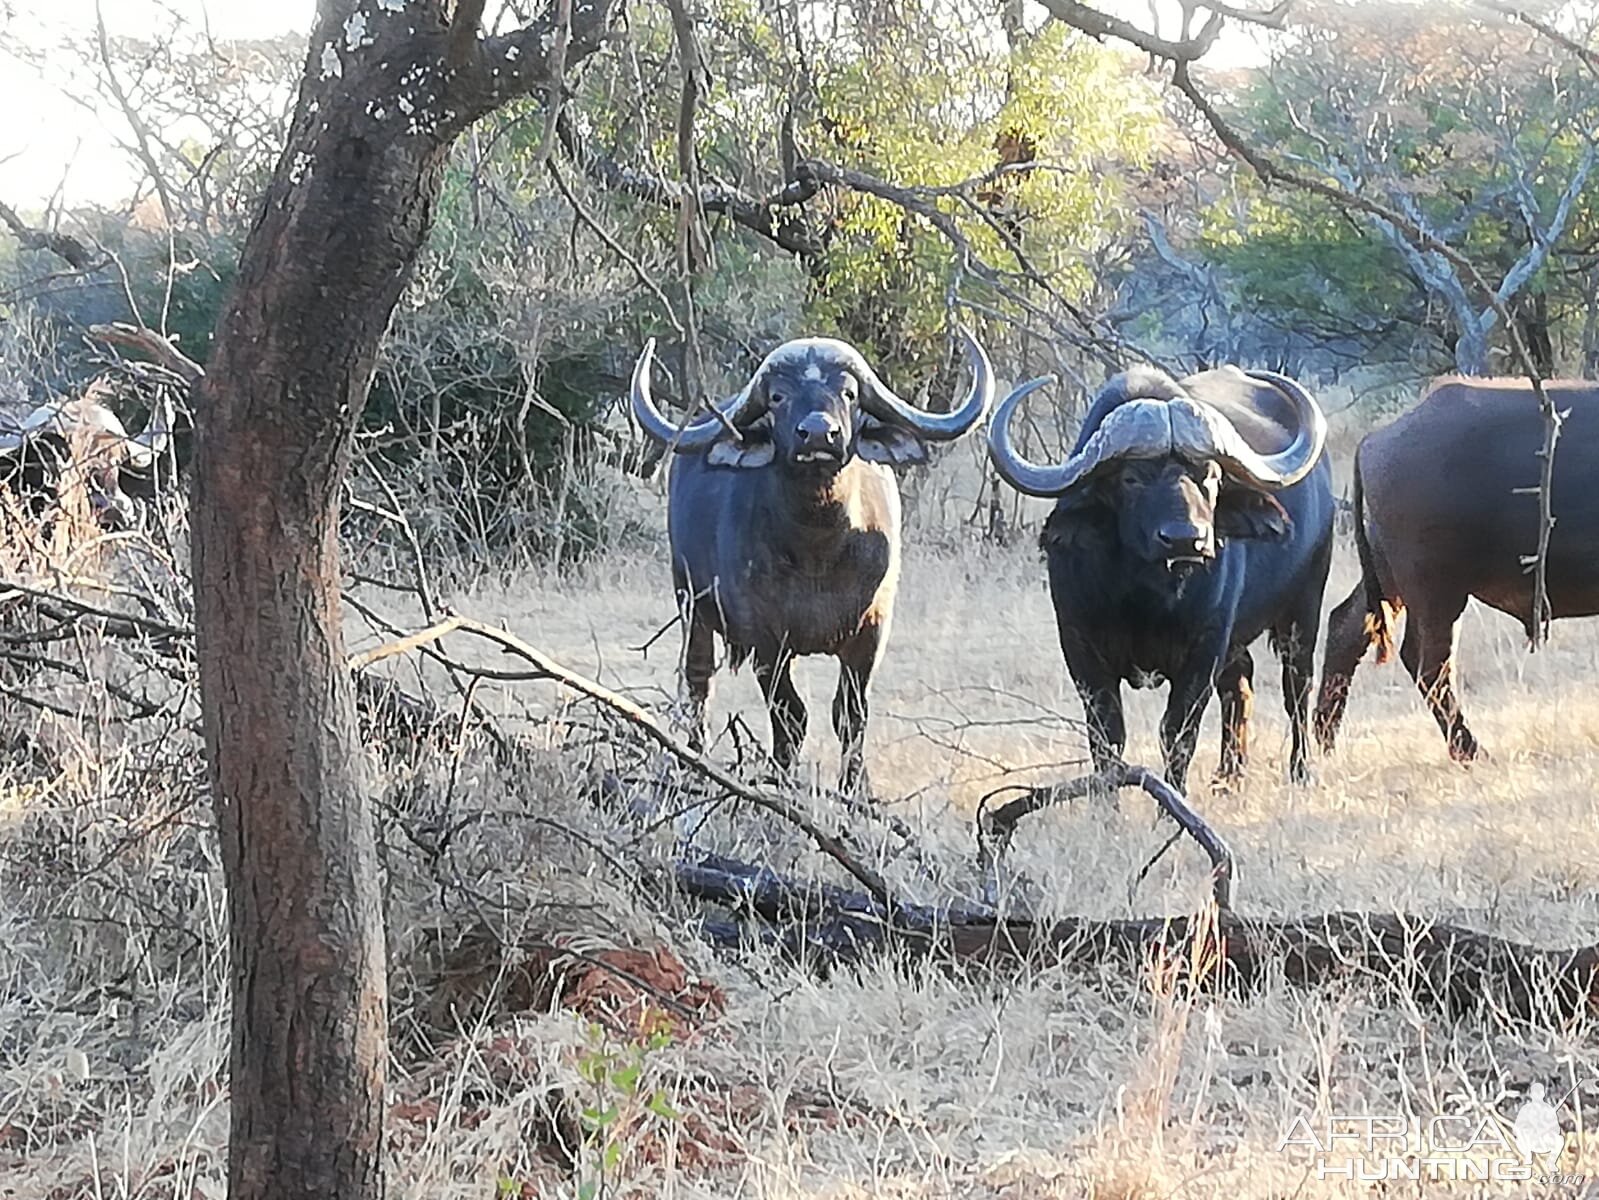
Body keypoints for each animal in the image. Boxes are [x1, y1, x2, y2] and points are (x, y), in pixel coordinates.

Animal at [630, 329, 991, 800]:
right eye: (778, 396)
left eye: (849, 393)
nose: (819, 434)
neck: (818, 551)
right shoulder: (766, 640)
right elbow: (789, 714)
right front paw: (783, 780)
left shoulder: (871, 633)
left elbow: (851, 714)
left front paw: (857, 790)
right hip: (690, 602)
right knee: (697, 681)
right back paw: (694, 756)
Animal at [984, 366, 1336, 800]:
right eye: (1131, 479)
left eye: (1211, 476)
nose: (1187, 539)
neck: (1147, 597)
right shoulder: (1079, 647)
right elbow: (1107, 737)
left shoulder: (1205, 648)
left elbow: (1178, 733)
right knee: (1241, 685)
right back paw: (1229, 775)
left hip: (1304, 609)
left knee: (1297, 689)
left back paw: (1301, 771)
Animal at [1311, 380, 1599, 764]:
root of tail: (1376, 440)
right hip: (1437, 589)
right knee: (1429, 663)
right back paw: (1470, 749)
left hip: (1389, 574)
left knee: (1348, 627)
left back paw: (1324, 737)